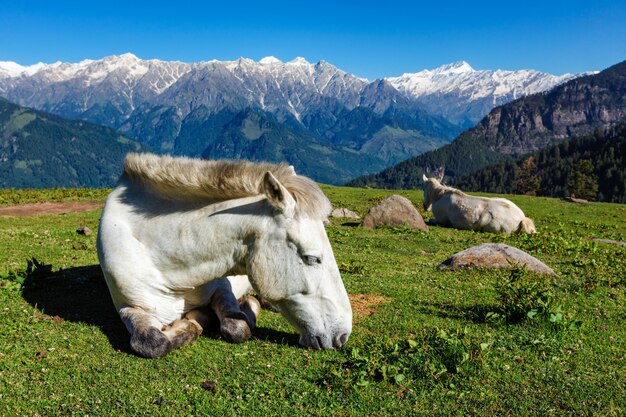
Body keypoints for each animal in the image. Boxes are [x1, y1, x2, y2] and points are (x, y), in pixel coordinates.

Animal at [96, 154, 352, 358]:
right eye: (312, 258)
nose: (343, 334)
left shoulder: (222, 289)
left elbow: (237, 327)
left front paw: (217, 314)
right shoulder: (129, 307)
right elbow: (151, 342)